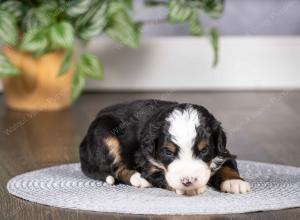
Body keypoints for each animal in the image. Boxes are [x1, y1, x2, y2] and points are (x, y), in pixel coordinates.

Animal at [80, 99, 251, 196]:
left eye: (204, 150)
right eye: (168, 152)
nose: (188, 181)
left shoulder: (223, 151)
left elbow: (227, 165)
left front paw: (235, 182)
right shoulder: (147, 162)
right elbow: (162, 176)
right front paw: (191, 189)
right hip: (105, 134)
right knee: (117, 169)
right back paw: (138, 179)